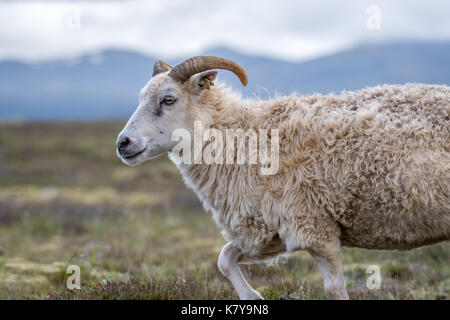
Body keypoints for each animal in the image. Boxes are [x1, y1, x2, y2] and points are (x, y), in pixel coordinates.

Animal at [117, 55, 450, 300]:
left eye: (168, 99)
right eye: (142, 97)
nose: (122, 143)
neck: (245, 137)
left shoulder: (316, 228)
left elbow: (335, 290)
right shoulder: (268, 229)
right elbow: (224, 259)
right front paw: (253, 296)